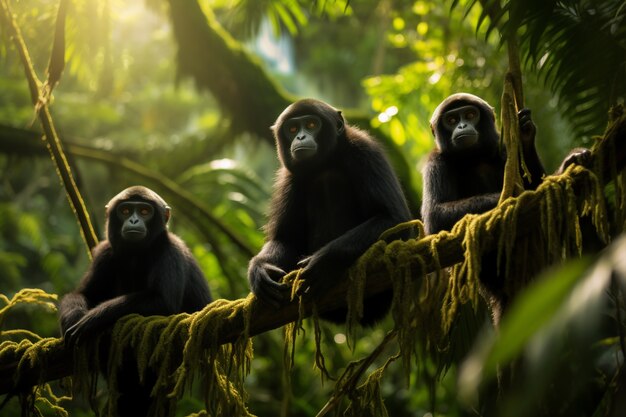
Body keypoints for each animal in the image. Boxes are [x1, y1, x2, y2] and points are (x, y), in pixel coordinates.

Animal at [60, 186, 213, 416]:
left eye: (144, 211)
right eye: (125, 211)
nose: (133, 220)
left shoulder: (170, 251)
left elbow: (163, 302)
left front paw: (92, 320)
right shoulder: (105, 252)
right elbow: (82, 294)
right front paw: (74, 317)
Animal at [246, 98, 412, 324]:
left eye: (311, 125)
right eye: (292, 128)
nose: (300, 137)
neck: (325, 164)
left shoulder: (366, 151)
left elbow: (395, 220)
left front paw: (324, 261)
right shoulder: (288, 178)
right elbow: (286, 239)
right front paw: (259, 269)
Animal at [420, 93, 588, 322]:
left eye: (470, 115)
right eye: (452, 120)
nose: (462, 125)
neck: (474, 157)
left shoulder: (503, 149)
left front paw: (525, 135)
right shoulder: (434, 162)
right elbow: (435, 215)